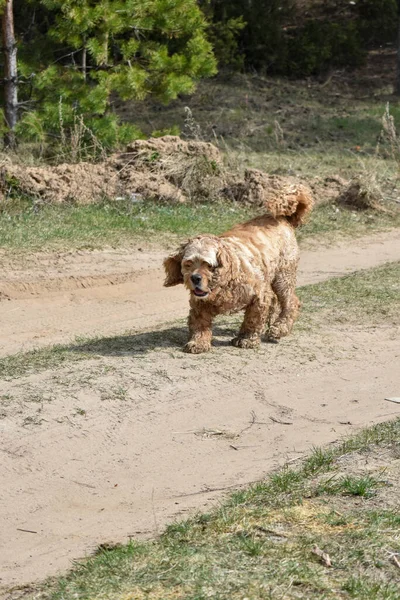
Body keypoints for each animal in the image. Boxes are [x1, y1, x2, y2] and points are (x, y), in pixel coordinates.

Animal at [162, 183, 312, 352]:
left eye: (208, 265)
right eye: (188, 264)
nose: (195, 278)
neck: (224, 282)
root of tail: (282, 218)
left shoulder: (259, 295)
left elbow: (252, 319)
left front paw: (246, 339)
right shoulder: (199, 303)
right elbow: (199, 323)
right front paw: (198, 342)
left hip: (283, 276)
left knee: (291, 302)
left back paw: (279, 328)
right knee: (276, 300)